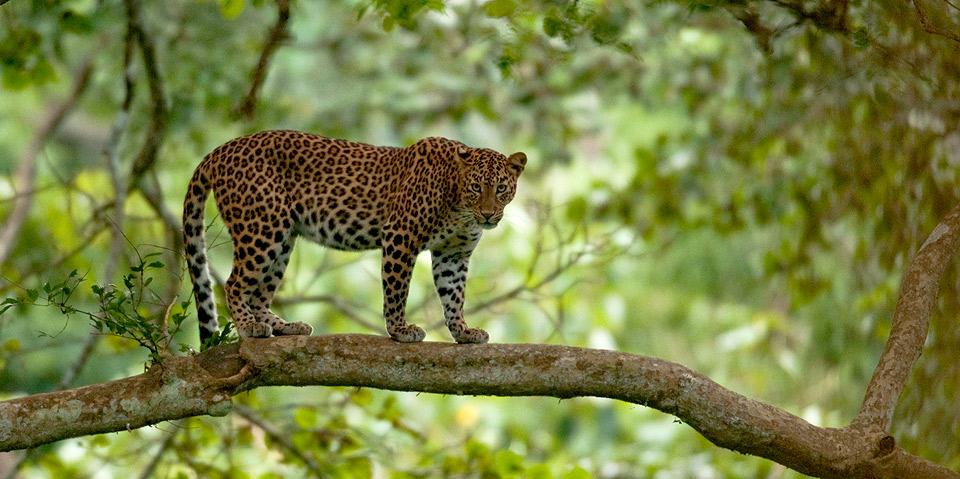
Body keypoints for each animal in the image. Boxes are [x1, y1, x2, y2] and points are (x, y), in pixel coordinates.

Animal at [180, 130, 524, 348]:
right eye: (476, 187)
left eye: (501, 188)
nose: (488, 215)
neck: (459, 205)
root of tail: (221, 150)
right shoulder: (400, 236)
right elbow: (396, 291)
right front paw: (399, 330)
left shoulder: (453, 254)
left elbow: (454, 297)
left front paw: (463, 332)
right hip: (262, 228)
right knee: (235, 284)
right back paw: (249, 327)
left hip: (283, 238)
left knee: (259, 294)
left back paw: (283, 327)